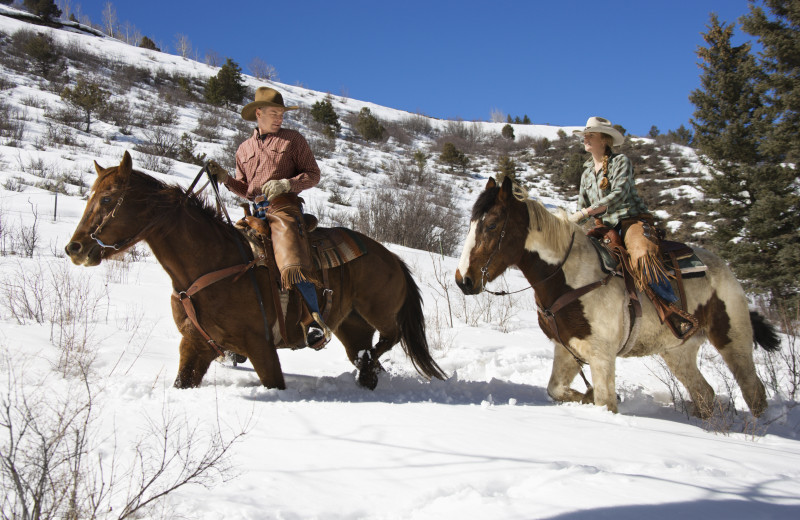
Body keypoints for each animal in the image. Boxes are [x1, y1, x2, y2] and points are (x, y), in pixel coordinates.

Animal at [65, 152, 446, 392]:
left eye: (108, 200)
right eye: (91, 195)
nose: (75, 249)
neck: (211, 264)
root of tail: (392, 258)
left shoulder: (261, 347)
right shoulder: (196, 345)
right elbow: (183, 382)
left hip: (378, 311)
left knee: (391, 336)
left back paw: (367, 369)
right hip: (351, 325)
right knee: (365, 350)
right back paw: (367, 373)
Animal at [460, 177, 780, 416]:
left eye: (491, 225)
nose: (464, 279)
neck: (571, 279)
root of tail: (726, 271)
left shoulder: (602, 356)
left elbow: (606, 403)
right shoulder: (567, 349)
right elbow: (556, 390)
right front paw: (585, 396)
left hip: (733, 339)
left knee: (753, 391)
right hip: (678, 351)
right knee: (704, 393)